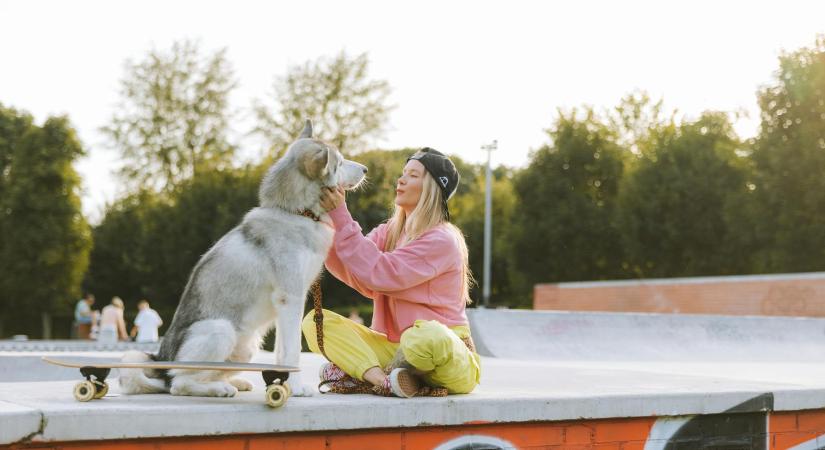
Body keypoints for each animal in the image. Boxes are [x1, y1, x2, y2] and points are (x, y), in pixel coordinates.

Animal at [119, 120, 366, 398]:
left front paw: (285, 386)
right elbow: (292, 351)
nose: (366, 169)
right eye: (340, 162)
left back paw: (233, 382)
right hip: (221, 330)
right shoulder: (291, 298)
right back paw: (218, 389)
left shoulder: (288, 303)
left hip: (248, 345)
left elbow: (282, 351)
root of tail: (161, 359)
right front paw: (297, 388)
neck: (295, 213)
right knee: (178, 384)